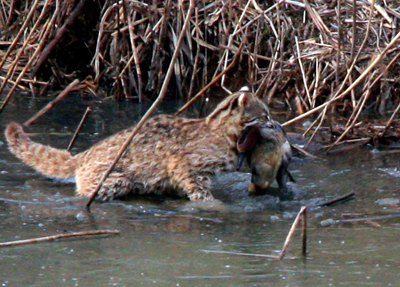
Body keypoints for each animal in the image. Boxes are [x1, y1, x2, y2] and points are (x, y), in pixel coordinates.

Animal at [4, 86, 270, 201]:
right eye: (265, 115)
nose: (275, 123)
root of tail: (86, 153)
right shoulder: (186, 165)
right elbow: (195, 186)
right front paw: (211, 204)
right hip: (114, 178)